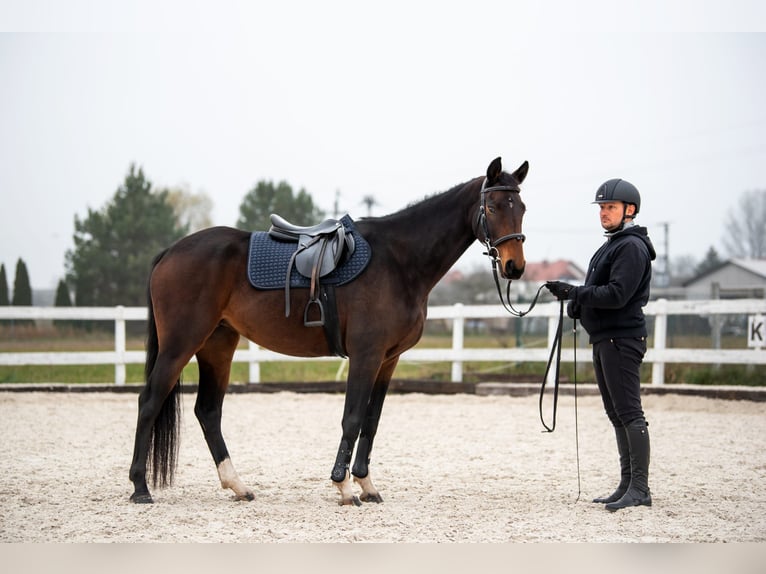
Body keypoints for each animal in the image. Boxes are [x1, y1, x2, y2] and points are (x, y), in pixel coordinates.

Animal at [129, 158, 532, 508]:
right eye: (492, 206)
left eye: (522, 207)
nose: (514, 266)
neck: (399, 261)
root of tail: (170, 252)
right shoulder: (366, 355)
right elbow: (352, 418)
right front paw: (344, 487)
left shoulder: (388, 360)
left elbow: (371, 420)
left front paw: (367, 485)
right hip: (181, 344)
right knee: (149, 401)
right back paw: (140, 488)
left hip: (217, 344)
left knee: (208, 411)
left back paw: (238, 486)